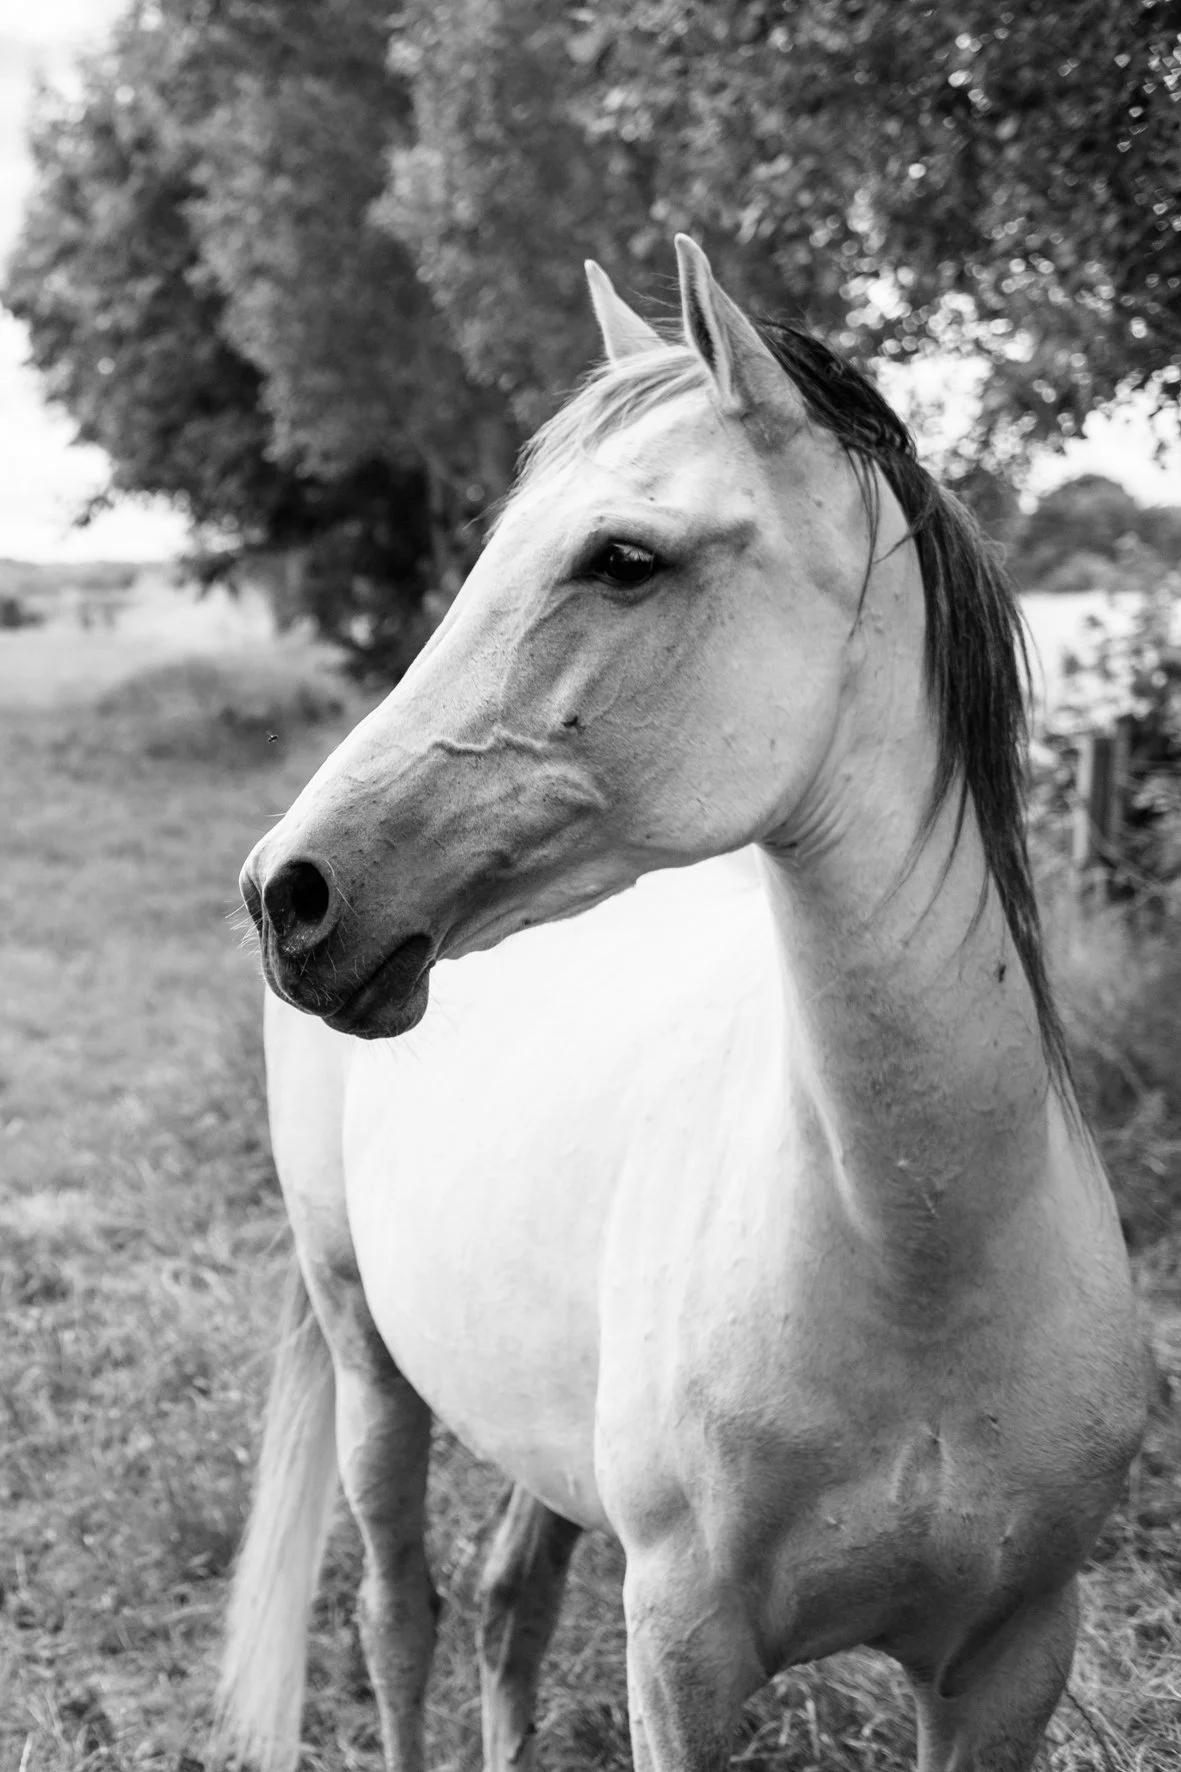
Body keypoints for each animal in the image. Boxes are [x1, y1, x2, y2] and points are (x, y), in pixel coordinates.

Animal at [223, 237, 1145, 1772]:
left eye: (622, 559)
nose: (288, 894)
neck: (920, 1256)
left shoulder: (1012, 1658)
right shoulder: (684, 1657)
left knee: (508, 1602)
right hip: (366, 1359)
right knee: (398, 1615)